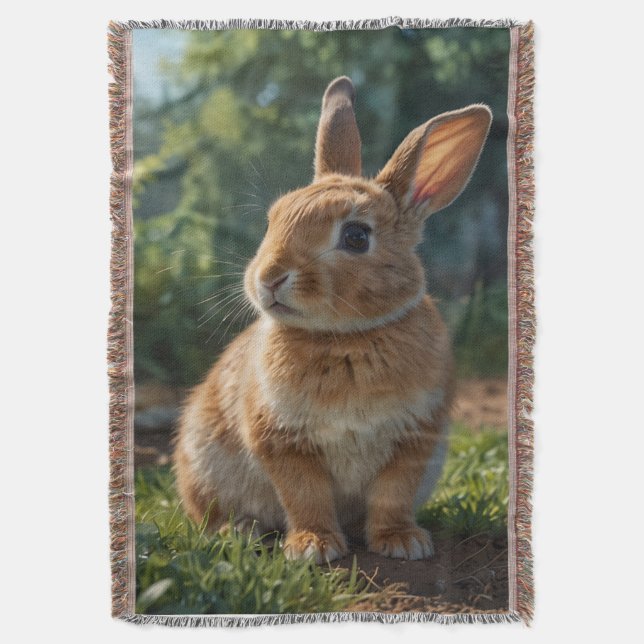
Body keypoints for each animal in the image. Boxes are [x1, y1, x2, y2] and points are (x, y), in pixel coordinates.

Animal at [173, 76, 492, 563]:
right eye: (273, 220)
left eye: (357, 237)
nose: (268, 278)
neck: (345, 338)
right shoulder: (283, 443)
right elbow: (306, 496)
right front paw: (314, 547)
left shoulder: (414, 440)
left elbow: (393, 495)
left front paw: (402, 542)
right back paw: (237, 532)